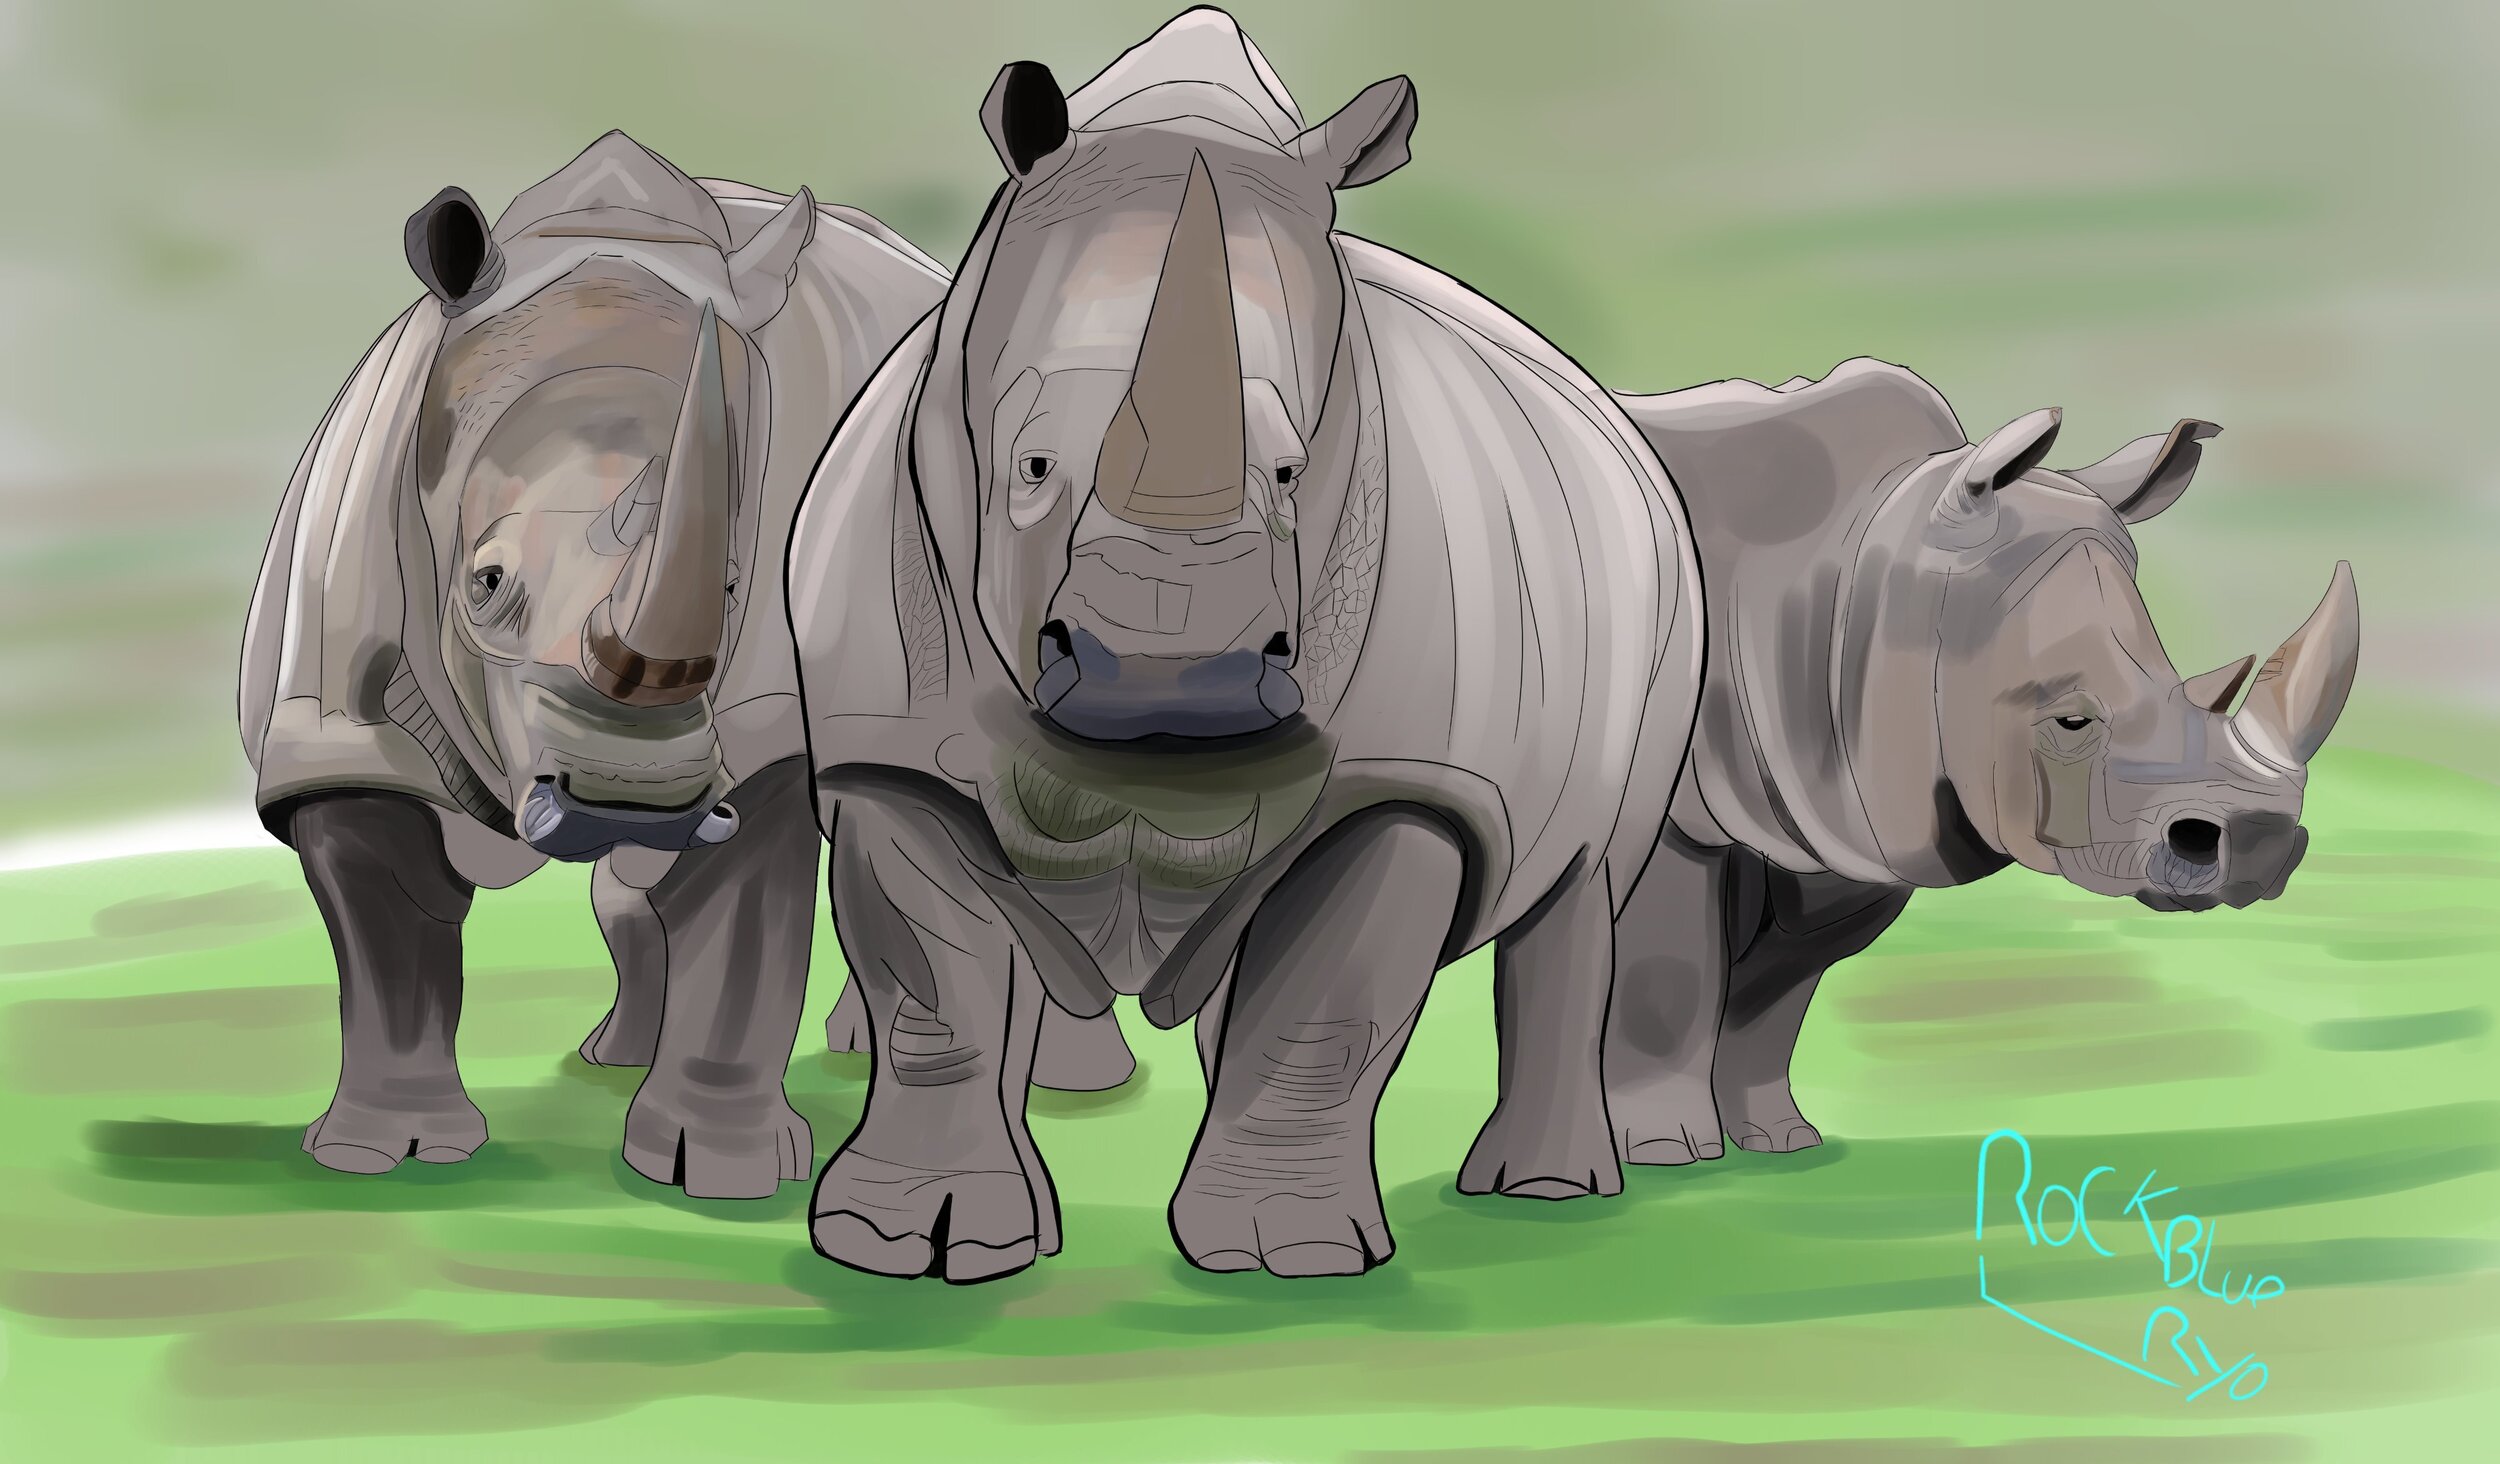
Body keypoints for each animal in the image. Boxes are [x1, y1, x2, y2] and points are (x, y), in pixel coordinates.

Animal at [239, 133, 946, 1196]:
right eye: (485, 583)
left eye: (732, 587)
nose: (629, 795)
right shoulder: (336, 712)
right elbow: (386, 920)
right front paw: (384, 1155)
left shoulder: (759, 712)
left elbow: (744, 924)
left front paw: (719, 1175)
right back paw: (613, 1057)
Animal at [786, 9, 1700, 1280]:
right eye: (1030, 466)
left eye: (1290, 472)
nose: (1169, 675)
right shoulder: (890, 748)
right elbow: (936, 983)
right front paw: (904, 1245)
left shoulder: (1415, 780)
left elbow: (1329, 997)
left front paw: (1290, 1255)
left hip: (1662, 591)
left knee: (1582, 885)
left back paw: (1543, 1192)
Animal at [1577, 359, 2359, 1171]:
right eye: (2070, 721)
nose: (2262, 845)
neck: (1845, 585)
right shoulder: (1675, 805)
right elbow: (1671, 972)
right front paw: (1669, 1151)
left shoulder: (1833, 811)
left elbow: (1781, 984)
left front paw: (1782, 1140)